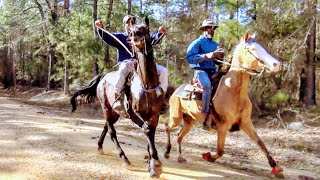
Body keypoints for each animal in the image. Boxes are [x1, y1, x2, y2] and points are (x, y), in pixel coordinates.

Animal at [71, 21, 164, 177]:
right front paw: (154, 162)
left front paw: (152, 159)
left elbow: (151, 131)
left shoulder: (154, 115)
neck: (146, 84)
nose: (135, 39)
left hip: (114, 113)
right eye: (132, 32)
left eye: (145, 29)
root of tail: (103, 77)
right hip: (106, 108)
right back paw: (124, 158)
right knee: (112, 131)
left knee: (106, 126)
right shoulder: (134, 113)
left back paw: (99, 147)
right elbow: (147, 130)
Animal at [165, 31, 282, 176]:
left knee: (179, 136)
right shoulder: (222, 125)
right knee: (167, 127)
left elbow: (260, 142)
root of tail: (176, 91)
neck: (235, 92)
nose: (276, 64)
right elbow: (220, 151)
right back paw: (167, 152)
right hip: (176, 117)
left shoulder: (246, 122)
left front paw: (276, 167)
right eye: (252, 49)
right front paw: (208, 156)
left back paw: (180, 157)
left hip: (189, 120)